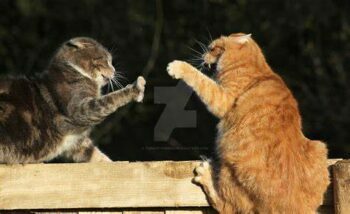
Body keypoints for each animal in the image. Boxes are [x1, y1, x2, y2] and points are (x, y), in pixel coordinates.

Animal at [0, 37, 146, 164]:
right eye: (104, 60)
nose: (114, 70)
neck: (77, 72)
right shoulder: (79, 109)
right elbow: (109, 100)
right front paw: (136, 88)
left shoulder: (76, 141)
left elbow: (93, 154)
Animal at [166, 32, 328, 213]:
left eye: (212, 48)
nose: (203, 56)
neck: (259, 69)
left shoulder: (224, 99)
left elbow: (201, 80)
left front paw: (178, 67)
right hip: (320, 148)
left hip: (227, 167)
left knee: (226, 205)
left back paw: (205, 173)